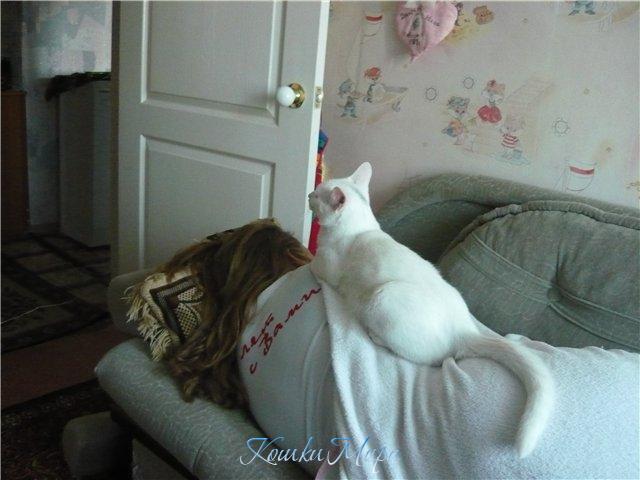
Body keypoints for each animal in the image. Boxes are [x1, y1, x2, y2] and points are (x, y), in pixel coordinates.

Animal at [308, 162, 553, 458]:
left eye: (318, 195)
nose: (309, 194)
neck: (360, 229)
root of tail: (465, 330)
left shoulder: (326, 268)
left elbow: (312, 263)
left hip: (382, 298)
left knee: (430, 358)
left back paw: (374, 335)